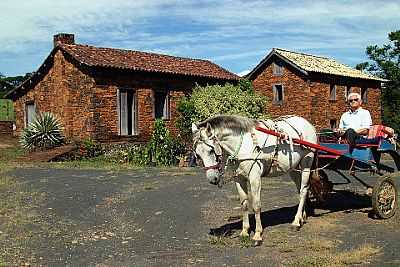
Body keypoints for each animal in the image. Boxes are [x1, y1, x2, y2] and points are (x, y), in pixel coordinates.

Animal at [192, 114, 318, 246]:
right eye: (198, 155)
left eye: (211, 150)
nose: (213, 179)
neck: (243, 144)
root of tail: (308, 124)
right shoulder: (239, 178)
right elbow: (244, 204)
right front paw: (244, 232)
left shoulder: (254, 178)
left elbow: (256, 205)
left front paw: (257, 235)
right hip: (293, 168)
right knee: (300, 189)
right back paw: (302, 217)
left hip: (306, 164)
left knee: (303, 191)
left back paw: (296, 222)